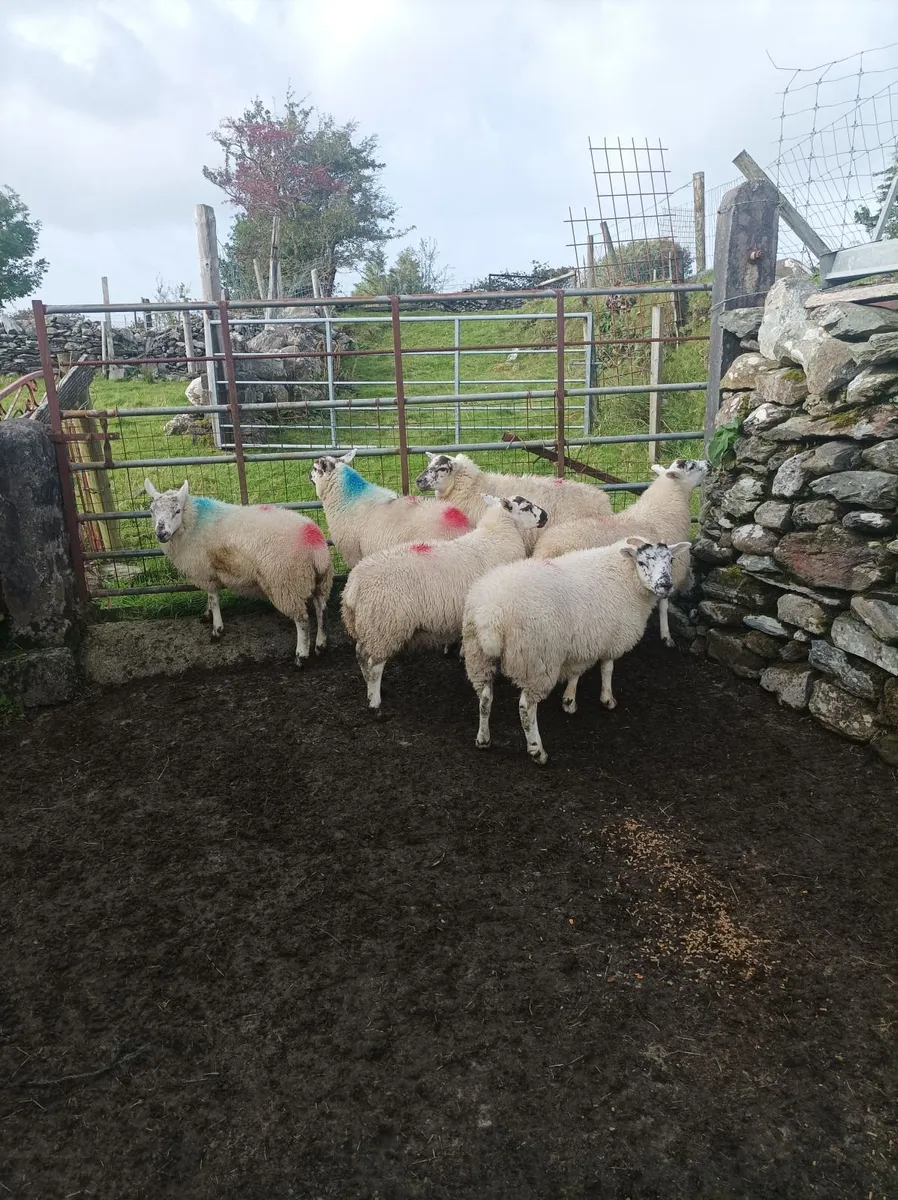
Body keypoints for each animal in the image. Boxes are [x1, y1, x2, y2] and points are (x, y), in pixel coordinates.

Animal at [144, 479, 333, 667]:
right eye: (151, 511)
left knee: (302, 620)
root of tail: (314, 543)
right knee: (321, 609)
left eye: (177, 511)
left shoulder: (204, 572)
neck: (193, 522)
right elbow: (210, 598)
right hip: (319, 580)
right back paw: (320, 645)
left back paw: (301, 655)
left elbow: (214, 599)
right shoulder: (209, 572)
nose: (161, 533)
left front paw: (217, 629)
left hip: (286, 584)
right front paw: (207, 615)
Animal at [341, 494, 548, 713]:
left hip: (368, 625)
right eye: (526, 507)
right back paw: (375, 702)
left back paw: (370, 688)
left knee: (361, 654)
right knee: (375, 665)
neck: (497, 535)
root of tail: (353, 585)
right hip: (385, 626)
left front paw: (461, 653)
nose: (546, 516)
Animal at [462, 536, 689, 765]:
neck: (624, 574)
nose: (666, 585)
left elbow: (575, 673)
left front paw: (569, 701)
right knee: (526, 707)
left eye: (670, 560)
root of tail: (492, 616)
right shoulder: (611, 638)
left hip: (479, 657)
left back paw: (483, 740)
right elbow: (607, 669)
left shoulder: (582, 643)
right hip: (538, 661)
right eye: (642, 562)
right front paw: (607, 700)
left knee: (485, 698)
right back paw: (537, 751)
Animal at [531, 457, 708, 647]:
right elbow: (664, 606)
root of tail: (545, 548)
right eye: (691, 466)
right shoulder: (666, 572)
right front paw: (666, 636)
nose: (709, 464)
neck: (661, 512)